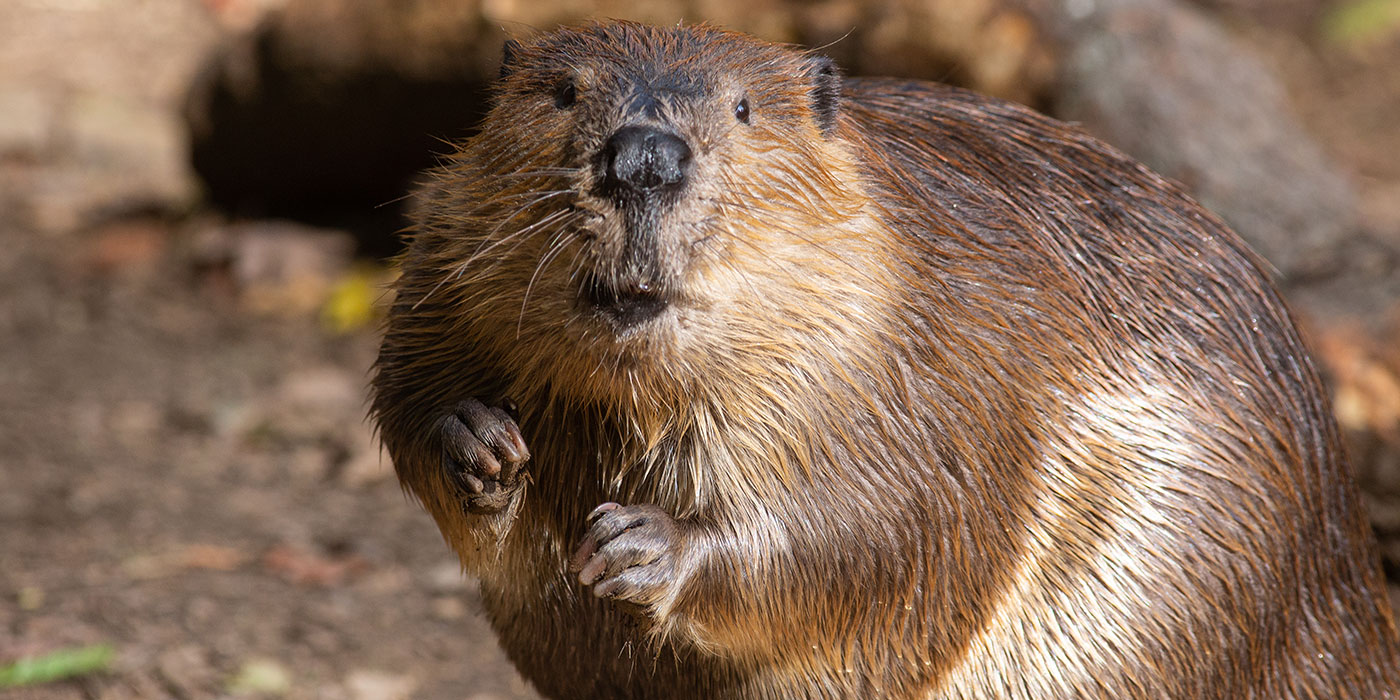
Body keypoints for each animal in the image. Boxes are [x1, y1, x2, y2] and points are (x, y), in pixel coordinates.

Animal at [372, 20, 1400, 700]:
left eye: (744, 108)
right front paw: (480, 442)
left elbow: (885, 526)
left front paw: (643, 545)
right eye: (563, 91)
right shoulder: (440, 249)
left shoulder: (933, 343)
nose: (644, 160)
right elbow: (407, 390)